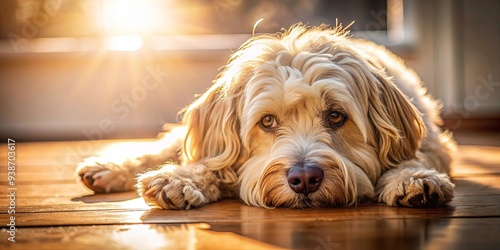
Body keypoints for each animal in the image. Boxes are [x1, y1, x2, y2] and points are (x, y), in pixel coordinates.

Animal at [76, 24, 456, 209]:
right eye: (268, 121)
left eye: (336, 116)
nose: (304, 179)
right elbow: (204, 164)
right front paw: (180, 179)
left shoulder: (431, 145)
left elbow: (411, 159)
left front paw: (412, 178)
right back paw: (109, 168)